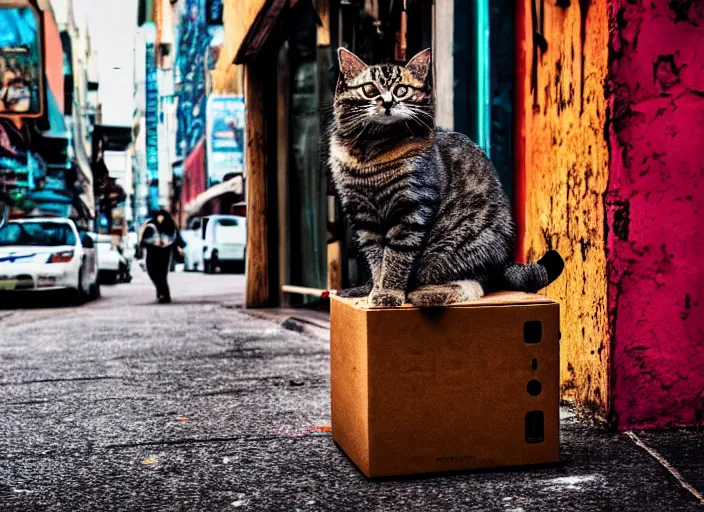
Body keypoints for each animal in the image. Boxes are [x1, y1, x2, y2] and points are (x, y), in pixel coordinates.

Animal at [328, 49, 564, 308]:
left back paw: (427, 294)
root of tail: (504, 261)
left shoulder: (411, 209)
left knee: (477, 282)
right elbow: (377, 259)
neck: (372, 150)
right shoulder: (363, 217)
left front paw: (388, 293)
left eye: (402, 90)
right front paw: (377, 289)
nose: (388, 102)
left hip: (451, 250)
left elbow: (396, 257)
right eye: (370, 90)